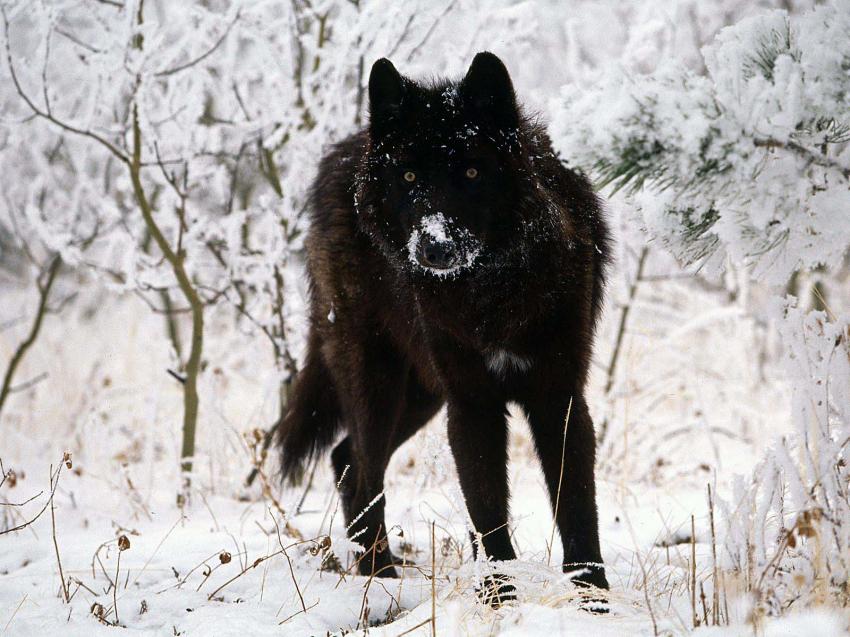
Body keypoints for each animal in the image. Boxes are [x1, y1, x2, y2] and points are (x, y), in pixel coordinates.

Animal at [277, 51, 611, 596]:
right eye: (410, 177)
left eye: (472, 171)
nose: (435, 248)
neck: (491, 294)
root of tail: (344, 151)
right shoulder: (472, 404)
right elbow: (487, 512)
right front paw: (498, 597)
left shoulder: (558, 397)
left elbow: (578, 510)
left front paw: (594, 598)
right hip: (379, 384)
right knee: (362, 468)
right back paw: (380, 577)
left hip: (421, 395)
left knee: (345, 459)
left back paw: (377, 573)